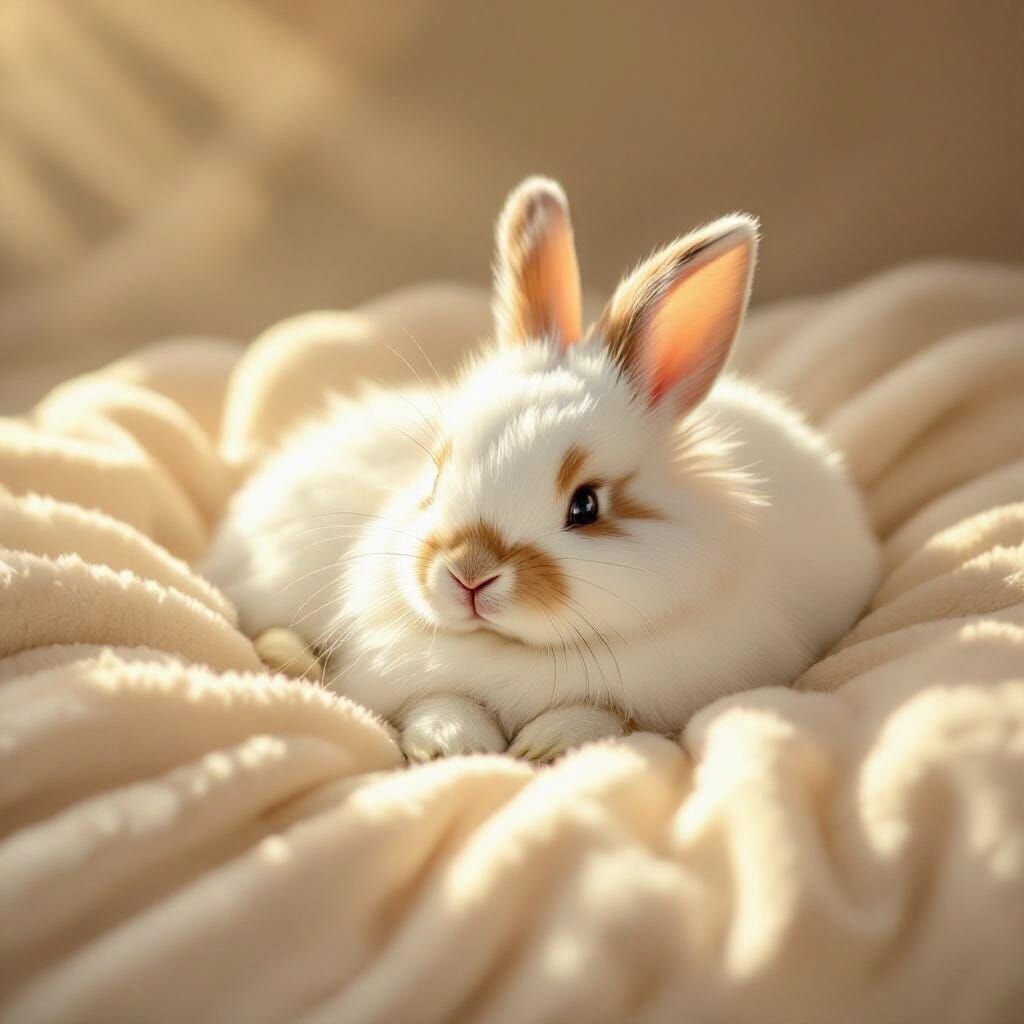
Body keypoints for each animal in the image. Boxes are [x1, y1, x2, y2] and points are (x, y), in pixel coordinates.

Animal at [203, 176, 880, 763]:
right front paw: (456, 743)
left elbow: (605, 713)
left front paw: (543, 744)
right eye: (435, 477)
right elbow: (439, 698)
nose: (469, 573)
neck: (515, 651)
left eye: (586, 505)